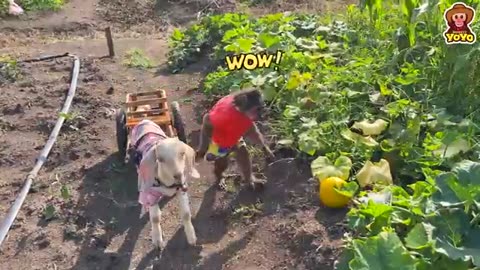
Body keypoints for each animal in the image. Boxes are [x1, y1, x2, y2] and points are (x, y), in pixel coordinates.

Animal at [129, 119, 201, 250]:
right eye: (160, 159)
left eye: (182, 153)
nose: (178, 175)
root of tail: (144, 119)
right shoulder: (150, 194)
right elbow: (155, 218)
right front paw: (157, 240)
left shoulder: (181, 189)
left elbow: (186, 214)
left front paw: (192, 237)